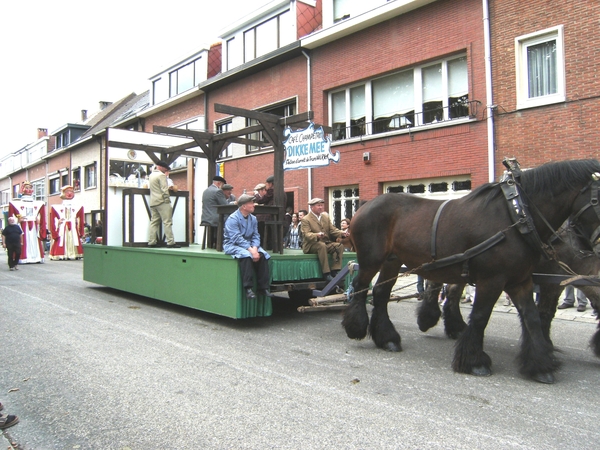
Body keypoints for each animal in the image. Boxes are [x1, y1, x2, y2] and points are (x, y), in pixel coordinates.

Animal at [418, 221, 600, 356]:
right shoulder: (551, 282)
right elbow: (546, 313)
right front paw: (545, 345)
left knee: (452, 291)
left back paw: (455, 327)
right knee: (435, 285)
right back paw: (428, 318)